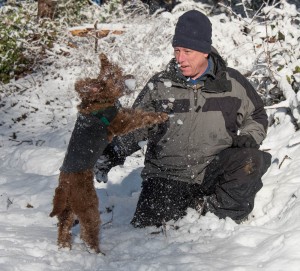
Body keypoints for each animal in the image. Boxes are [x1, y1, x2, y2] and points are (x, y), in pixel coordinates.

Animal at [50, 53, 170, 255]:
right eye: (115, 78)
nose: (131, 77)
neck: (99, 100)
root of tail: (64, 186)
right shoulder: (122, 121)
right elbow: (140, 115)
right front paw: (160, 115)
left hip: (68, 209)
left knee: (63, 227)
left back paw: (64, 247)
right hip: (88, 205)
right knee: (88, 231)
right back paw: (97, 252)